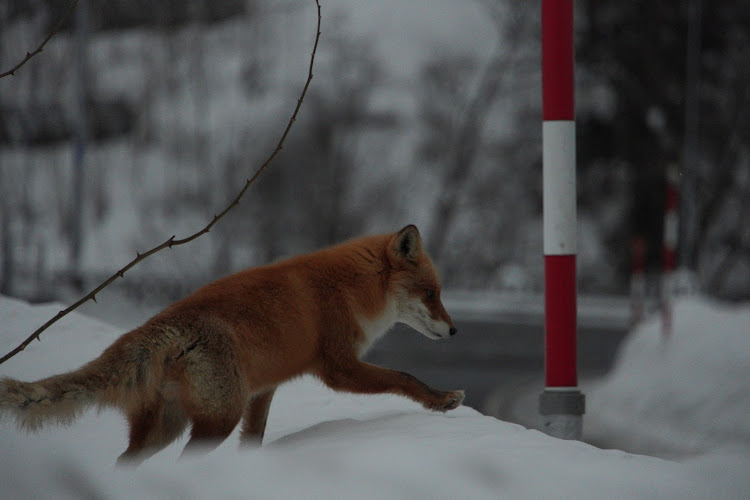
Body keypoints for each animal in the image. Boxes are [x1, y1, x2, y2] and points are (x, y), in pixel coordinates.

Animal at [0, 225, 464, 462]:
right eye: (432, 294)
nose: (455, 332)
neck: (353, 288)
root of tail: (153, 328)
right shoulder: (338, 367)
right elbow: (404, 377)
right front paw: (441, 399)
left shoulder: (264, 389)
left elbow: (254, 440)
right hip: (216, 419)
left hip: (164, 429)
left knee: (123, 462)